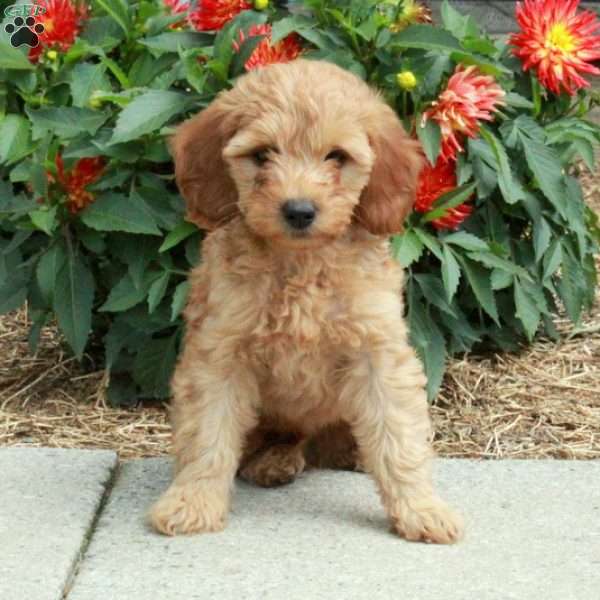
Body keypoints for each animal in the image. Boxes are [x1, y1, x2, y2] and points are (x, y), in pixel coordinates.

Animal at [151, 59, 464, 544]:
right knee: (283, 440)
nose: (299, 210)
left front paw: (421, 509)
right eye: (263, 154)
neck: (301, 265)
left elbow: (398, 434)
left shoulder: (377, 348)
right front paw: (192, 502)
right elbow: (207, 433)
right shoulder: (219, 352)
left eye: (336, 156)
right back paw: (275, 461)